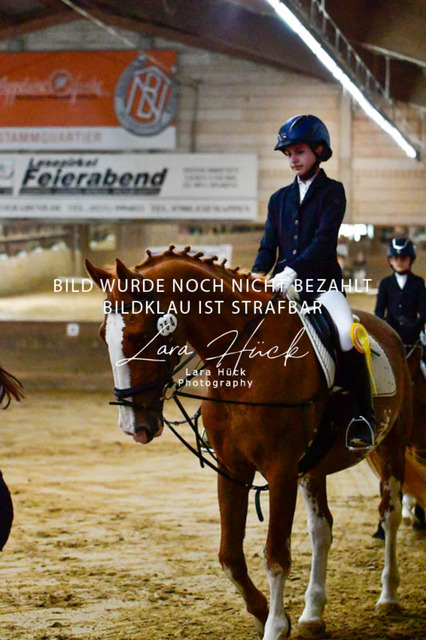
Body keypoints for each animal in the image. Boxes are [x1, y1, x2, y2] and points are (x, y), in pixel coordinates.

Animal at [86, 246, 412, 640]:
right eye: (103, 335)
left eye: (137, 337)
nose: (134, 426)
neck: (243, 356)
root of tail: (385, 327)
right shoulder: (232, 469)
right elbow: (230, 556)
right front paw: (264, 613)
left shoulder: (281, 471)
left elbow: (276, 556)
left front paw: (275, 626)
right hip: (314, 466)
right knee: (322, 530)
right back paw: (312, 614)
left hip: (392, 445)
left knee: (390, 514)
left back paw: (388, 597)